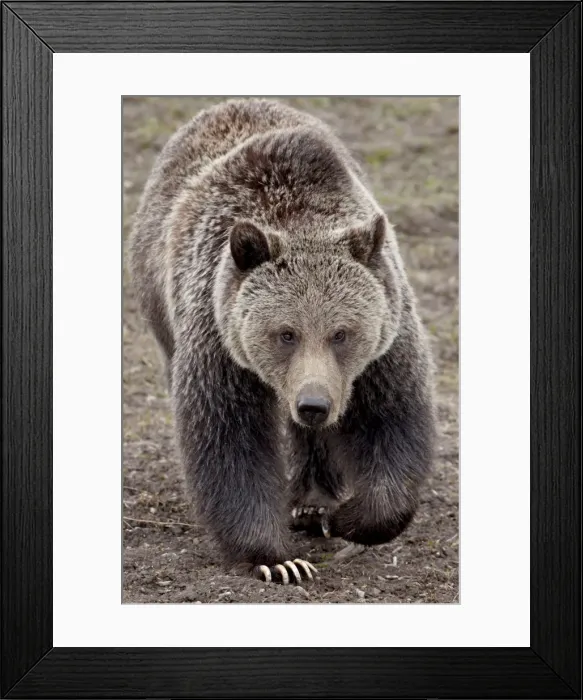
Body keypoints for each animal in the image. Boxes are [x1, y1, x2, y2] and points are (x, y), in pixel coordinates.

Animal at [129, 98, 436, 585]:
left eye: (341, 333)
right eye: (286, 333)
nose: (314, 404)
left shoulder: (383, 346)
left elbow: (393, 421)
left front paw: (344, 517)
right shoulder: (219, 340)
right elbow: (229, 442)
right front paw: (279, 559)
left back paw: (313, 502)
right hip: (159, 304)